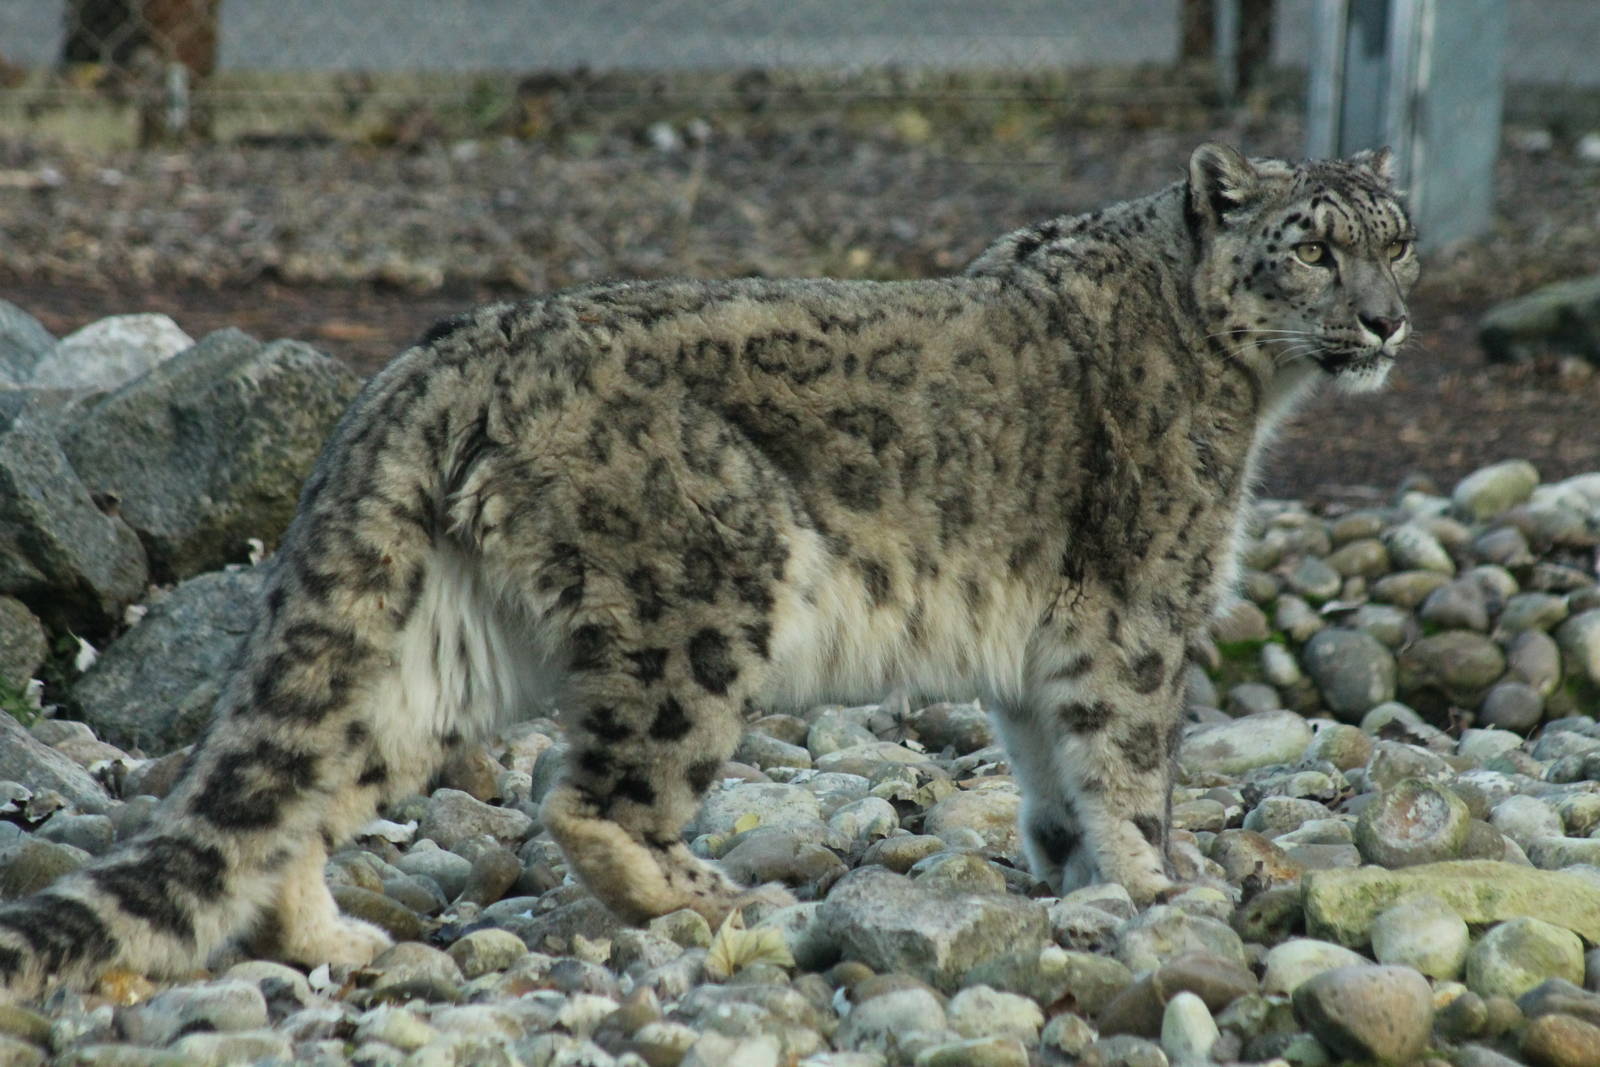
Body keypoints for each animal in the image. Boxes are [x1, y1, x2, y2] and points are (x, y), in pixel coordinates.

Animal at [0, 143, 1416, 997]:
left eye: (1398, 239)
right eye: (1312, 247)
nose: (1389, 319)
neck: (1250, 394)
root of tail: (448, 352)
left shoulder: (1050, 642)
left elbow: (1049, 764)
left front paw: (1075, 873)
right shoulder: (1140, 602)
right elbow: (1126, 751)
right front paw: (1160, 881)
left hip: (443, 640)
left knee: (317, 774)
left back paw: (336, 933)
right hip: (708, 585)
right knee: (589, 792)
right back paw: (713, 895)